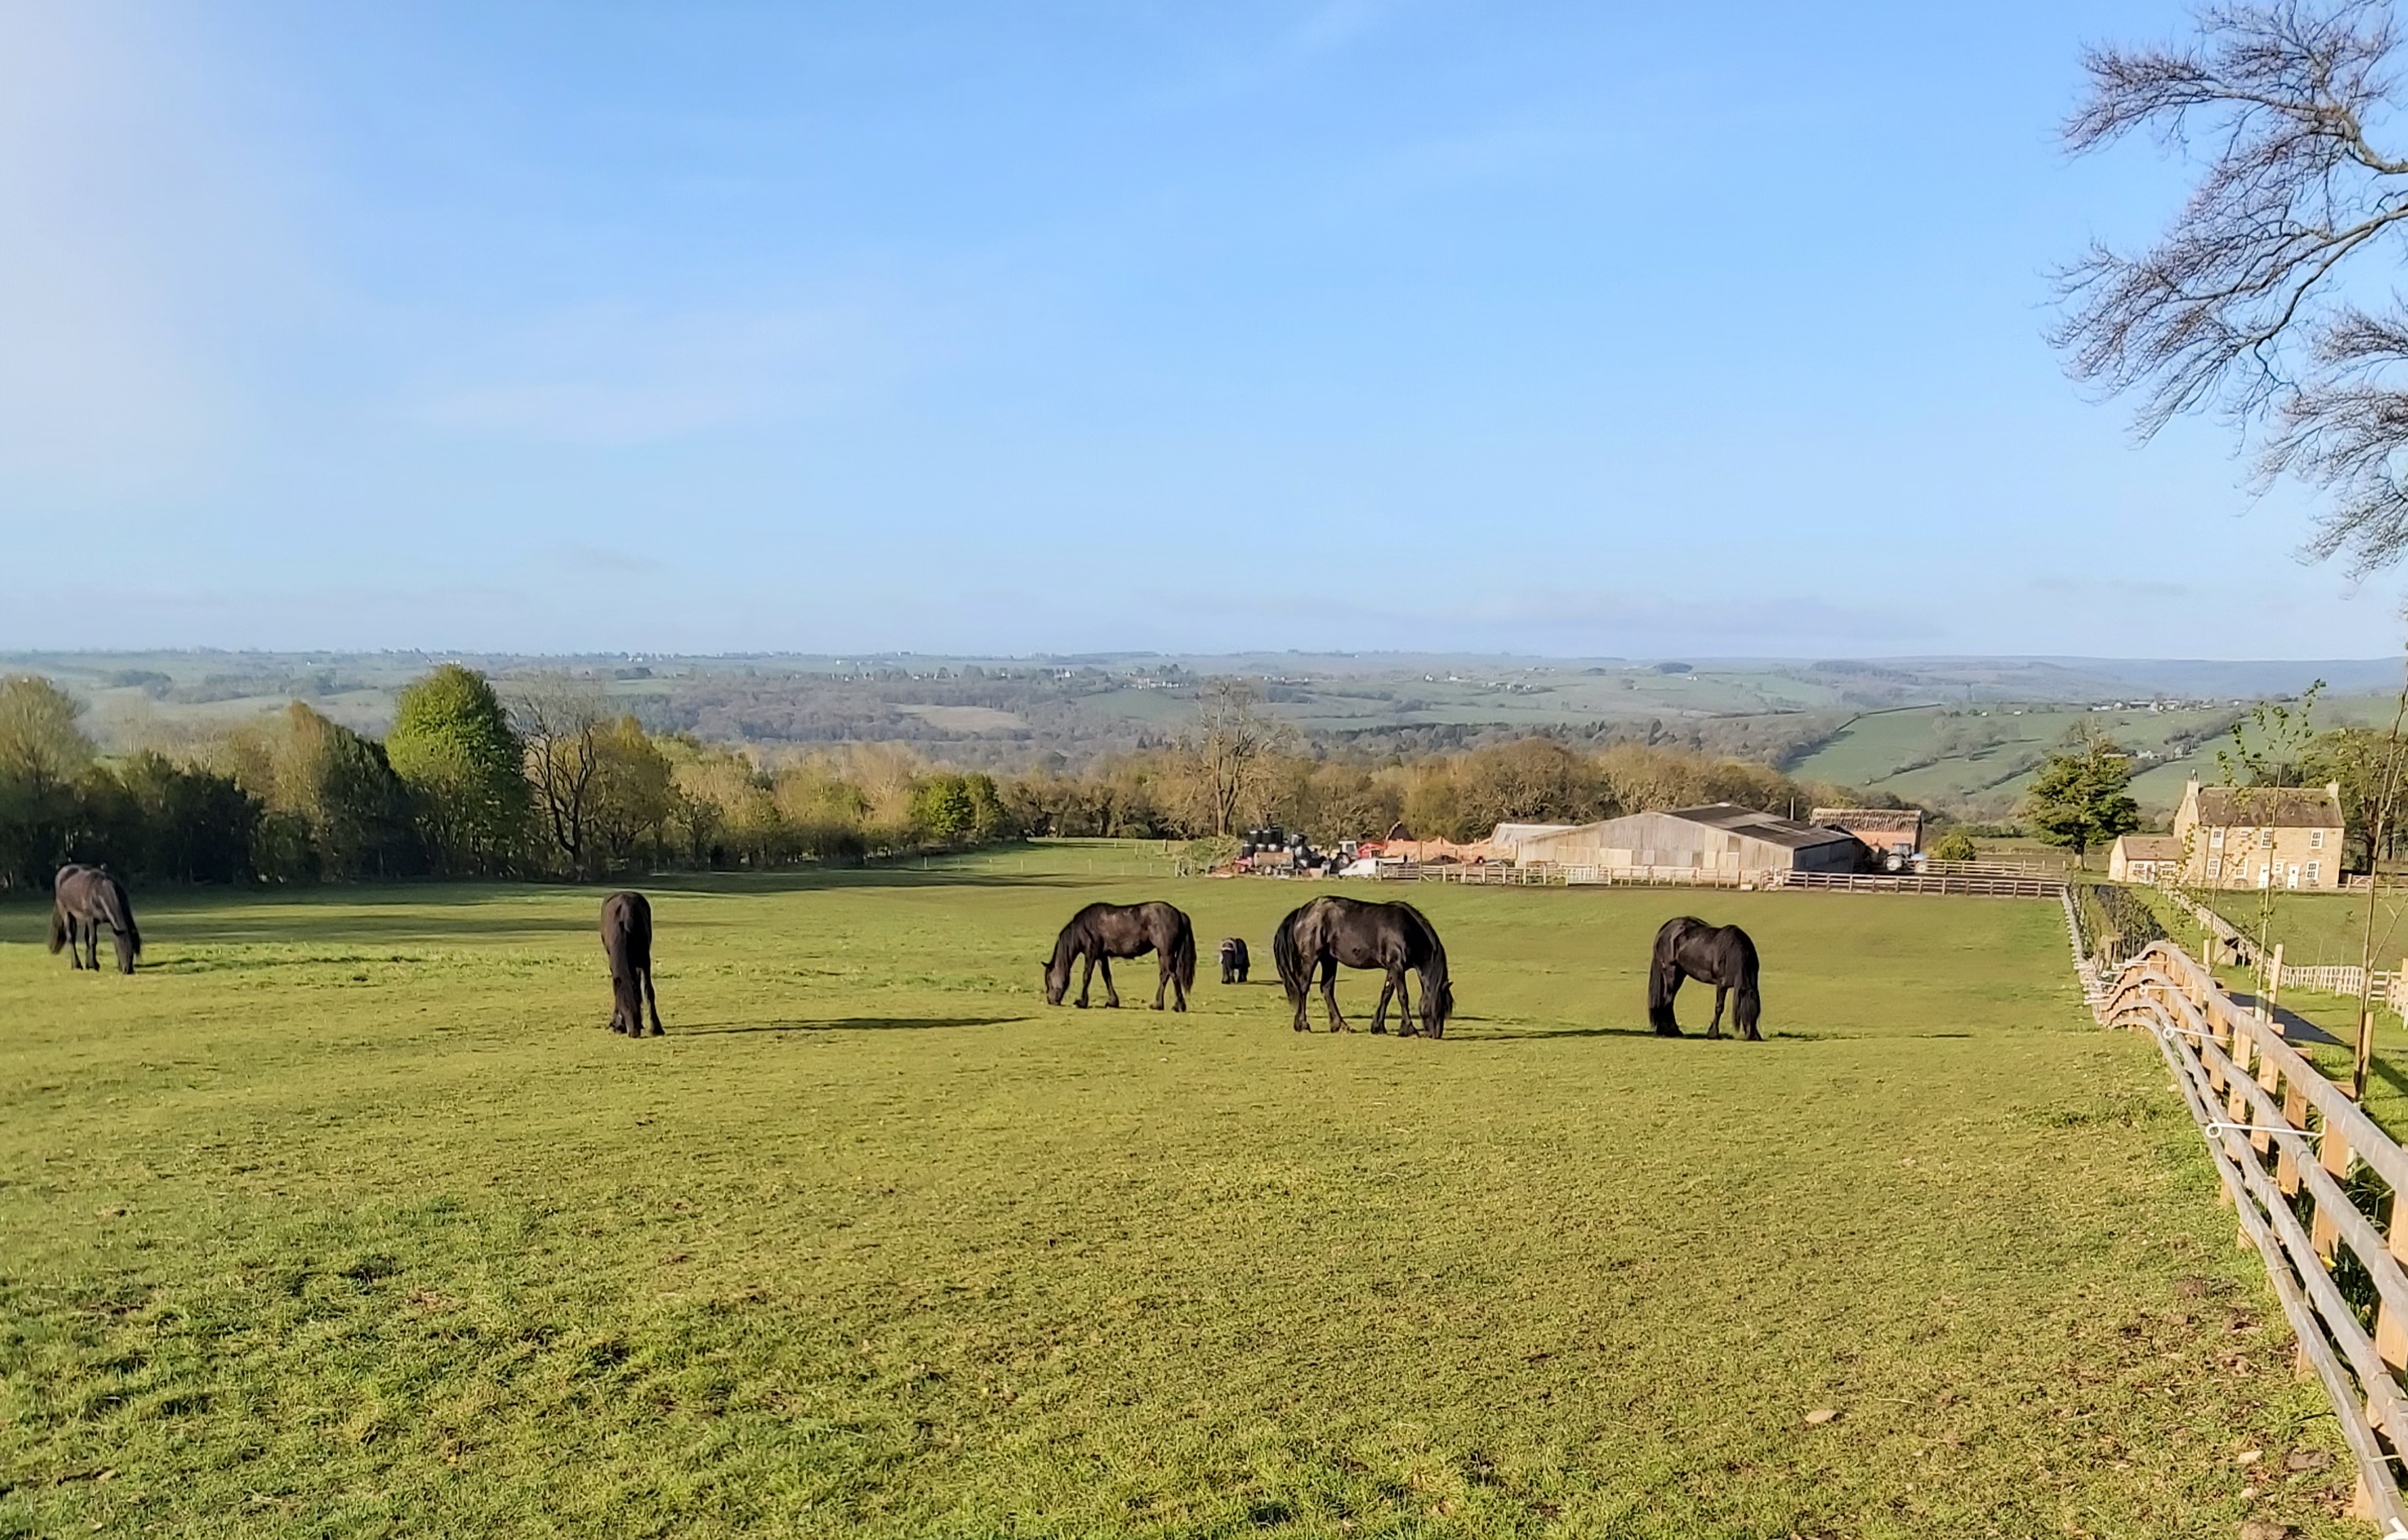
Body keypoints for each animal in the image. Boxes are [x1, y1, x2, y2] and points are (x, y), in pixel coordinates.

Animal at [606, 890, 664, 1034]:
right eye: (624, 1005)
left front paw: (656, 1027)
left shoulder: (644, 960)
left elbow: (648, 990)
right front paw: (617, 1025)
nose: (634, 1032)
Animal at [1045, 904, 1194, 1010]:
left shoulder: (1091, 954)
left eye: (1048, 980)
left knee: (1173, 975)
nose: (1050, 1000)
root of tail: (1178, 913)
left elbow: (1086, 976)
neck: (1083, 928)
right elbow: (1106, 976)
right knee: (1164, 975)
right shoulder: (1101, 956)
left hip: (1166, 952)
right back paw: (1157, 1004)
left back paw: (1179, 1006)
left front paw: (1081, 1002)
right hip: (1162, 953)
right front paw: (1112, 1002)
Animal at [1271, 894, 1454, 1039]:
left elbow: (1386, 994)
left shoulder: (1392, 968)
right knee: (1303, 988)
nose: (1436, 1034)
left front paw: (1378, 1027)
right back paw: (1303, 1025)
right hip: (1311, 959)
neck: (1406, 931)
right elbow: (1402, 996)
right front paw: (1409, 1029)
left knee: (1327, 989)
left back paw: (1340, 1025)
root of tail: (1302, 911)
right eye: (1440, 1006)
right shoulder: (1397, 966)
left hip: (1329, 960)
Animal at [1647, 919, 1762, 1039]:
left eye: (1756, 1014)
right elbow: (1719, 1007)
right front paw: (1713, 1033)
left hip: (1680, 974)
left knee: (1669, 999)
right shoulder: (1722, 984)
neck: (1731, 953)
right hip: (1671, 971)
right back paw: (1672, 1031)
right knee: (1668, 999)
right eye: (1744, 1013)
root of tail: (1666, 928)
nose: (1752, 1036)